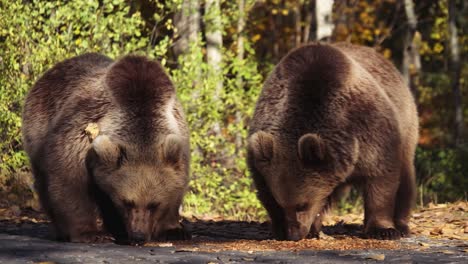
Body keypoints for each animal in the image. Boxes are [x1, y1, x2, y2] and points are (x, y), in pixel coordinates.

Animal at [22, 53, 190, 245]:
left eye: (154, 205)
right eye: (127, 202)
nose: (138, 236)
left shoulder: (178, 135)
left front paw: (174, 230)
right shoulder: (83, 129)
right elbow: (69, 179)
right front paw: (89, 233)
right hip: (38, 130)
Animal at [247, 42, 418, 241]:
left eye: (302, 204)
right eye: (281, 205)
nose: (294, 234)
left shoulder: (369, 130)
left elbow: (381, 176)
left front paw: (383, 230)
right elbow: (265, 190)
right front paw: (282, 228)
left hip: (406, 119)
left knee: (405, 176)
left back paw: (402, 225)